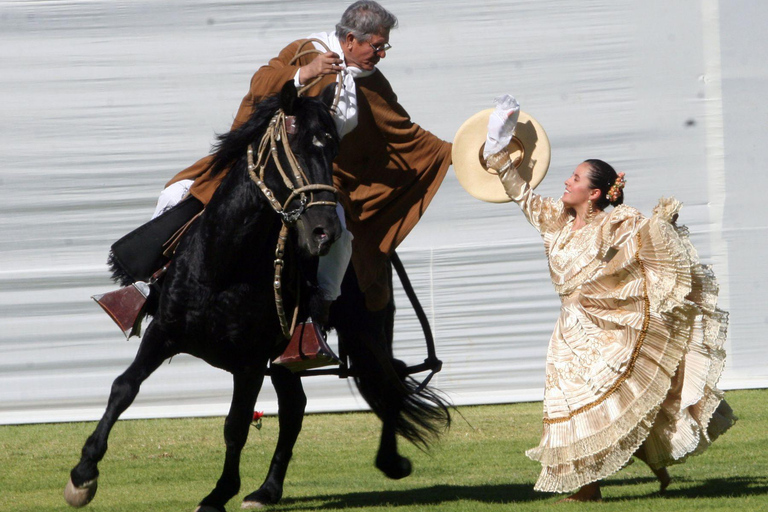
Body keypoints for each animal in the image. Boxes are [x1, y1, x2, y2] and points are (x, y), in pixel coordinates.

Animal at [67, 82, 450, 510]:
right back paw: (268, 489)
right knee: (300, 405)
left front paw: (218, 493)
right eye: (291, 147)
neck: (224, 266)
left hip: (364, 330)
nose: (324, 231)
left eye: (334, 148)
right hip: (289, 357)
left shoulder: (249, 362)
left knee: (385, 380)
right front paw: (83, 473)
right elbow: (124, 387)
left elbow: (236, 426)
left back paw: (389, 461)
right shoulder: (163, 333)